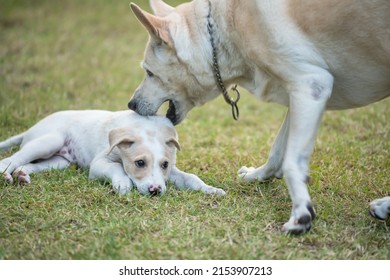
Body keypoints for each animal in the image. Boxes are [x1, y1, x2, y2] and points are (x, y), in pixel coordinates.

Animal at [0, 108, 225, 196]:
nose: (155, 191)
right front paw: (123, 184)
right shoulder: (99, 163)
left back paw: (22, 176)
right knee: (11, 159)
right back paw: (6, 176)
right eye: (139, 163)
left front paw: (212, 190)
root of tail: (30, 129)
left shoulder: (171, 172)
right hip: (49, 140)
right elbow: (118, 168)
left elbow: (191, 178)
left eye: (165, 165)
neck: (146, 127)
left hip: (59, 161)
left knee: (26, 164)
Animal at [129, 0, 390, 232]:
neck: (228, 27)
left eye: (149, 72)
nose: (130, 104)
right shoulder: (300, 94)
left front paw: (301, 214)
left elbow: (292, 162)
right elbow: (277, 152)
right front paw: (257, 176)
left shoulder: (311, 85)